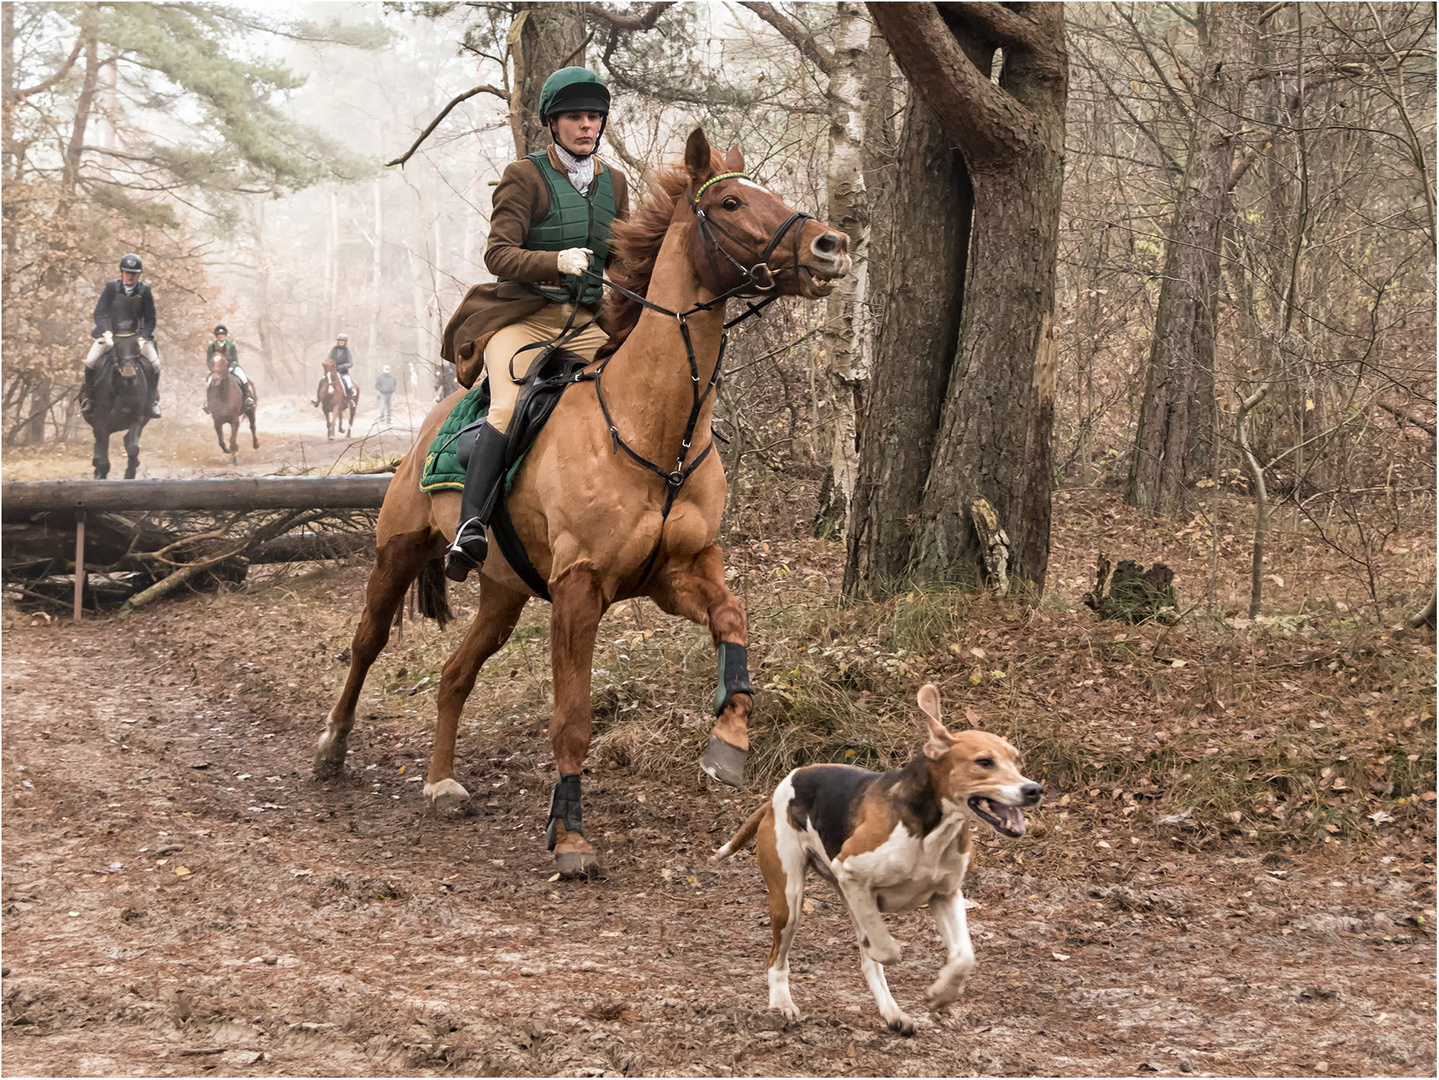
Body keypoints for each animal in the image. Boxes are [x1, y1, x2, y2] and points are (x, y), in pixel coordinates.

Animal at [82, 333, 154, 477]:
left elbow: (132, 447)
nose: (129, 374)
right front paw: (100, 472)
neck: (123, 387)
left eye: (137, 347)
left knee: (126, 440)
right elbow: (102, 454)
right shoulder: (100, 421)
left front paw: (130, 473)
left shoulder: (138, 418)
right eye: (116, 346)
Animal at [310, 133, 846, 880]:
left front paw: (728, 742)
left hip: (504, 592)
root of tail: (435, 417)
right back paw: (332, 746)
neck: (655, 430)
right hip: (399, 552)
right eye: (732, 203)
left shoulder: (679, 571)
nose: (831, 244)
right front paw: (569, 837)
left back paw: (441, 782)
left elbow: (733, 624)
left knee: (453, 675)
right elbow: (571, 720)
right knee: (367, 643)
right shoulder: (578, 589)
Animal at [713, 684, 1041, 1029]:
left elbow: (964, 956)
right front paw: (895, 955)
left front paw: (941, 996)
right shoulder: (850, 873)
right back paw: (782, 1002)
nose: (1034, 790)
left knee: (867, 961)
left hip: (841, 896)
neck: (931, 830)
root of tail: (777, 791)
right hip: (789, 900)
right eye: (984, 762)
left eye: (1016, 761)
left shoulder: (946, 895)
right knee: (777, 957)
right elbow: (886, 948)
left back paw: (892, 1012)